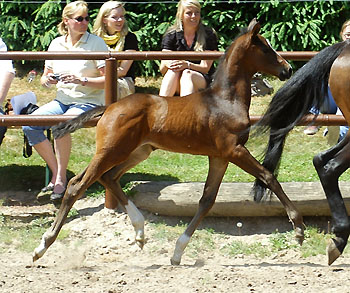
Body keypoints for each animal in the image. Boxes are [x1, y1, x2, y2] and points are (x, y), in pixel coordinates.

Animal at [32, 19, 298, 264]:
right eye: (266, 48)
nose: (288, 69)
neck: (224, 100)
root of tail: (109, 108)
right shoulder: (234, 150)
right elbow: (268, 176)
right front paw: (299, 228)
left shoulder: (219, 156)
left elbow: (207, 200)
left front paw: (178, 252)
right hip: (111, 151)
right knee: (78, 184)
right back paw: (43, 246)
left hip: (137, 152)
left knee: (109, 177)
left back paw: (140, 232)